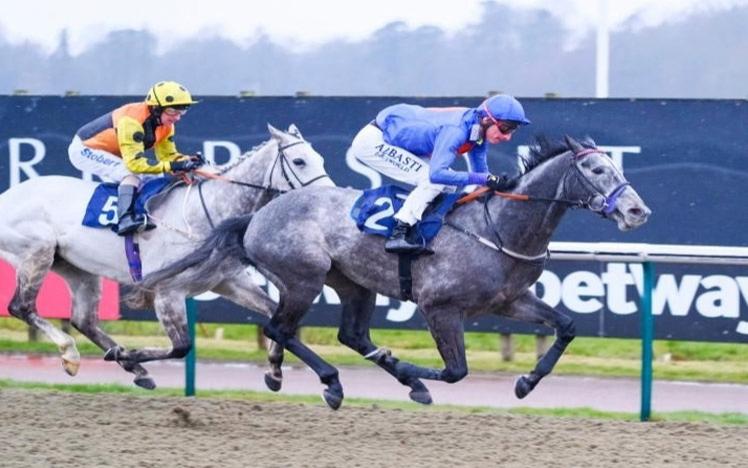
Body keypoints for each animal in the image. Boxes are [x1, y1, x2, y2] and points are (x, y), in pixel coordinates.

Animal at [0, 123, 334, 388]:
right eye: (299, 161)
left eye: (320, 158)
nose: (327, 199)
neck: (206, 212)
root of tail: (7, 195)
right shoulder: (167, 292)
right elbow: (182, 347)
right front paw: (128, 352)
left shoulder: (228, 282)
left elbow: (275, 315)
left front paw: (275, 371)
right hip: (38, 252)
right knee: (21, 307)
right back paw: (72, 353)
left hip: (78, 270)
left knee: (84, 320)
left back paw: (135, 368)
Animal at [139, 137, 648, 408]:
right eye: (597, 169)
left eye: (614, 165)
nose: (637, 211)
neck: (500, 225)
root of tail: (257, 214)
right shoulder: (440, 306)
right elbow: (457, 371)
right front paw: (410, 370)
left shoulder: (509, 301)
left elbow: (567, 325)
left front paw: (525, 382)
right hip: (304, 278)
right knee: (279, 327)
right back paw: (328, 381)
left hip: (352, 283)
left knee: (348, 334)